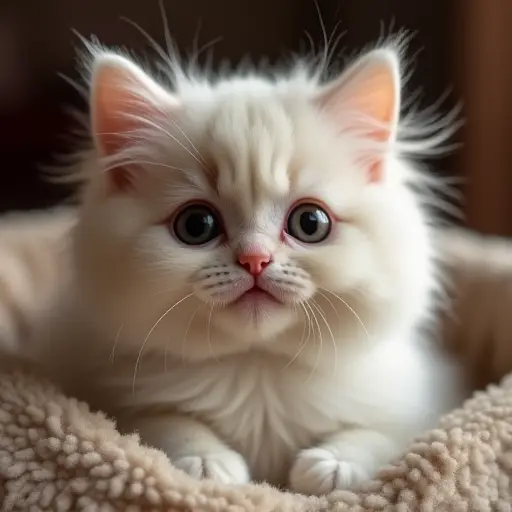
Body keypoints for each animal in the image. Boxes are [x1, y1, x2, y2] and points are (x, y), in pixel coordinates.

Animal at [35, 40, 460, 496]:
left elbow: (383, 436)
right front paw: (207, 462)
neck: (258, 373)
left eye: (310, 223)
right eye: (196, 225)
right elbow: (160, 423)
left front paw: (334, 464)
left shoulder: (419, 403)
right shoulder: (104, 390)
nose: (255, 259)